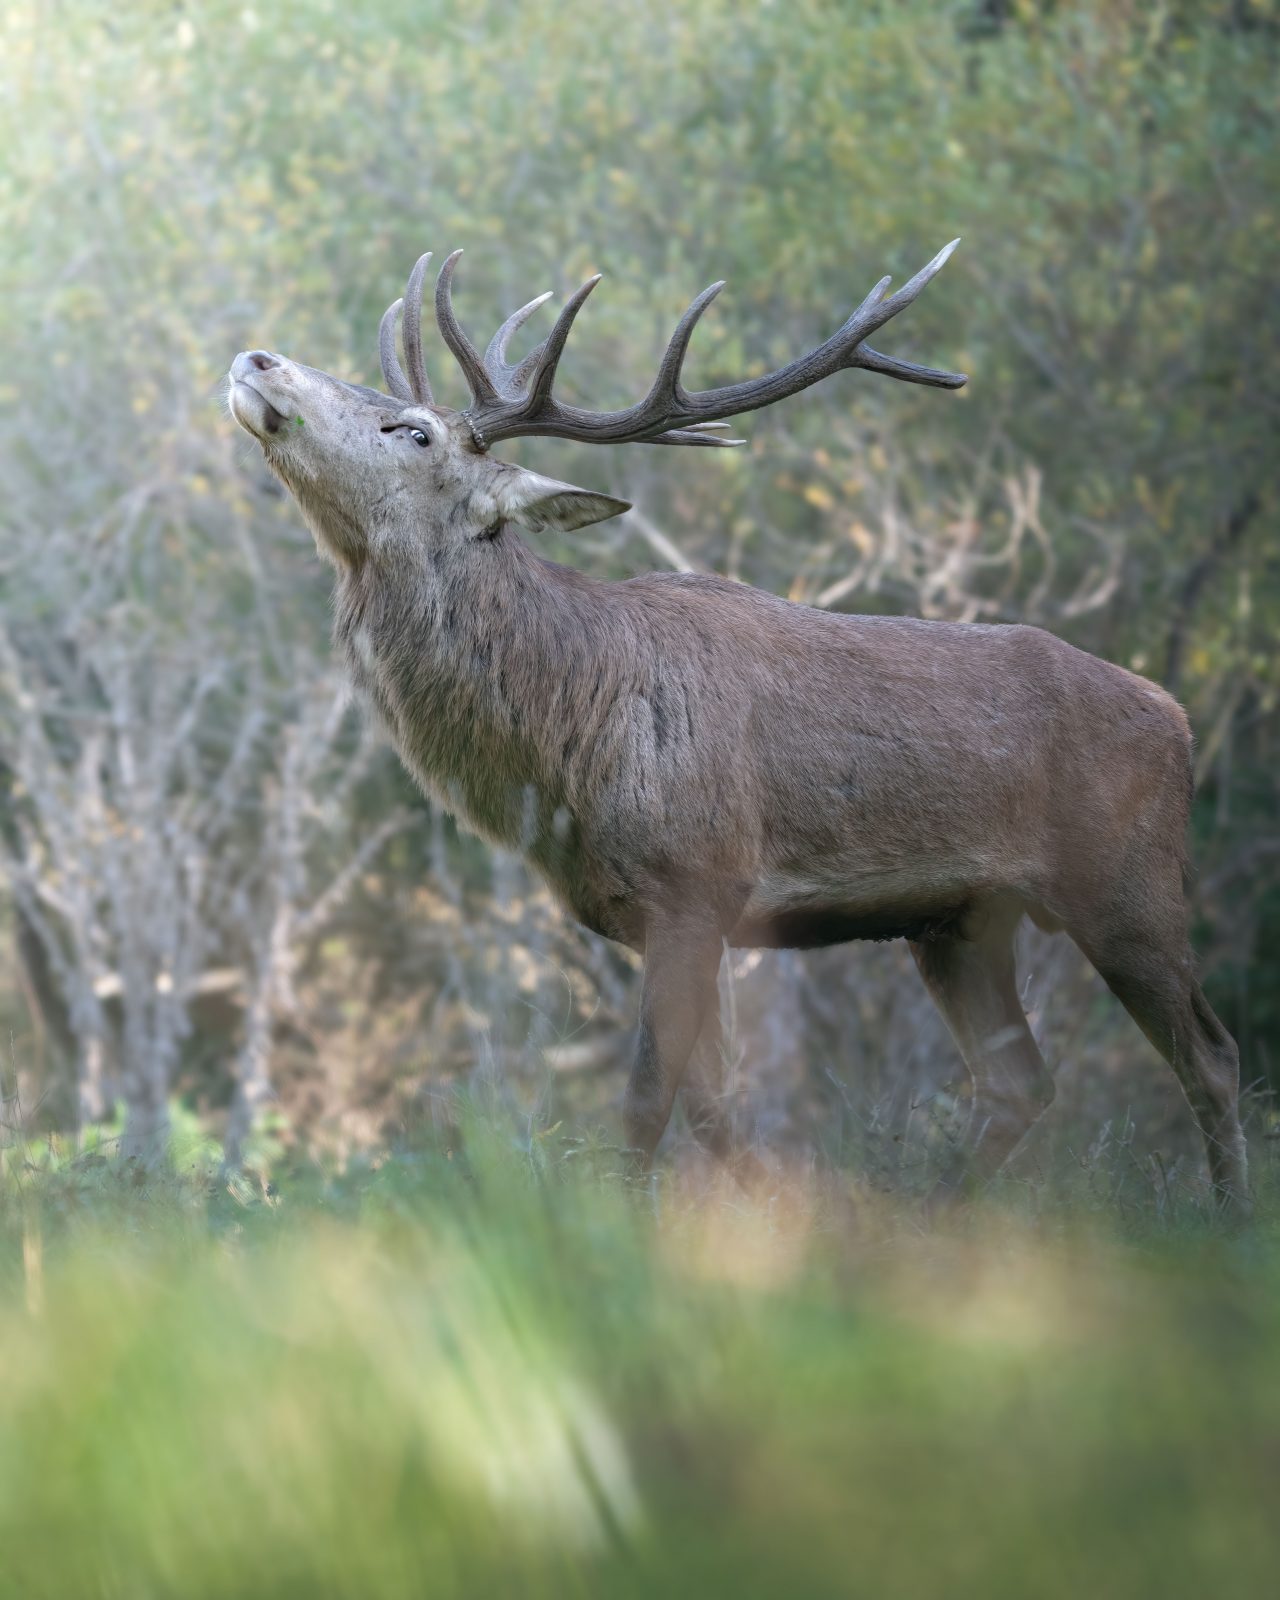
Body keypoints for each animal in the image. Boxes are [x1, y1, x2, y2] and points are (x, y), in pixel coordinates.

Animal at [227, 239, 1248, 1211]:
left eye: (415, 430)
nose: (256, 357)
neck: (569, 739)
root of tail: (1178, 718)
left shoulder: (697, 879)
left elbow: (647, 1101)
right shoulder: (659, 918)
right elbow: (714, 1105)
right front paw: (782, 1217)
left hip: (1127, 884)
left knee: (1211, 1054)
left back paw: (1225, 1217)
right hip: (960, 924)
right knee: (1018, 1082)